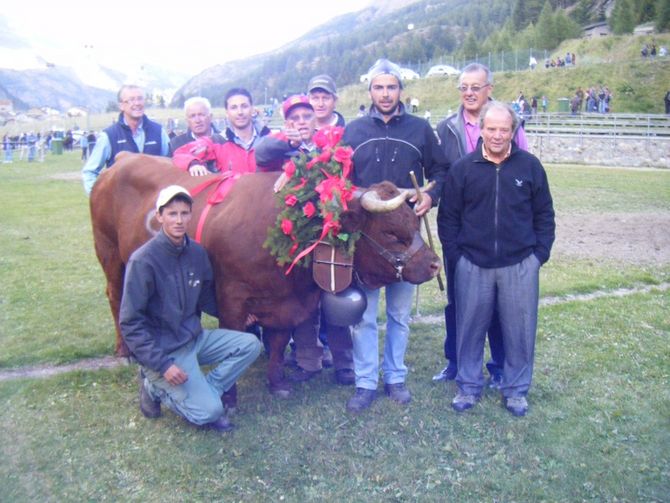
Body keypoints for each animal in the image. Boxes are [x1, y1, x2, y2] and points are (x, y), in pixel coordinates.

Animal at [92, 154, 444, 398]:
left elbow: (276, 345)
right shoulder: (232, 300)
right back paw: (125, 351)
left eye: (414, 221)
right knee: (115, 295)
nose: (434, 265)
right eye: (391, 232)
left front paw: (277, 383)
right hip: (109, 253)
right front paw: (229, 399)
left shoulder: (284, 304)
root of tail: (123, 159)